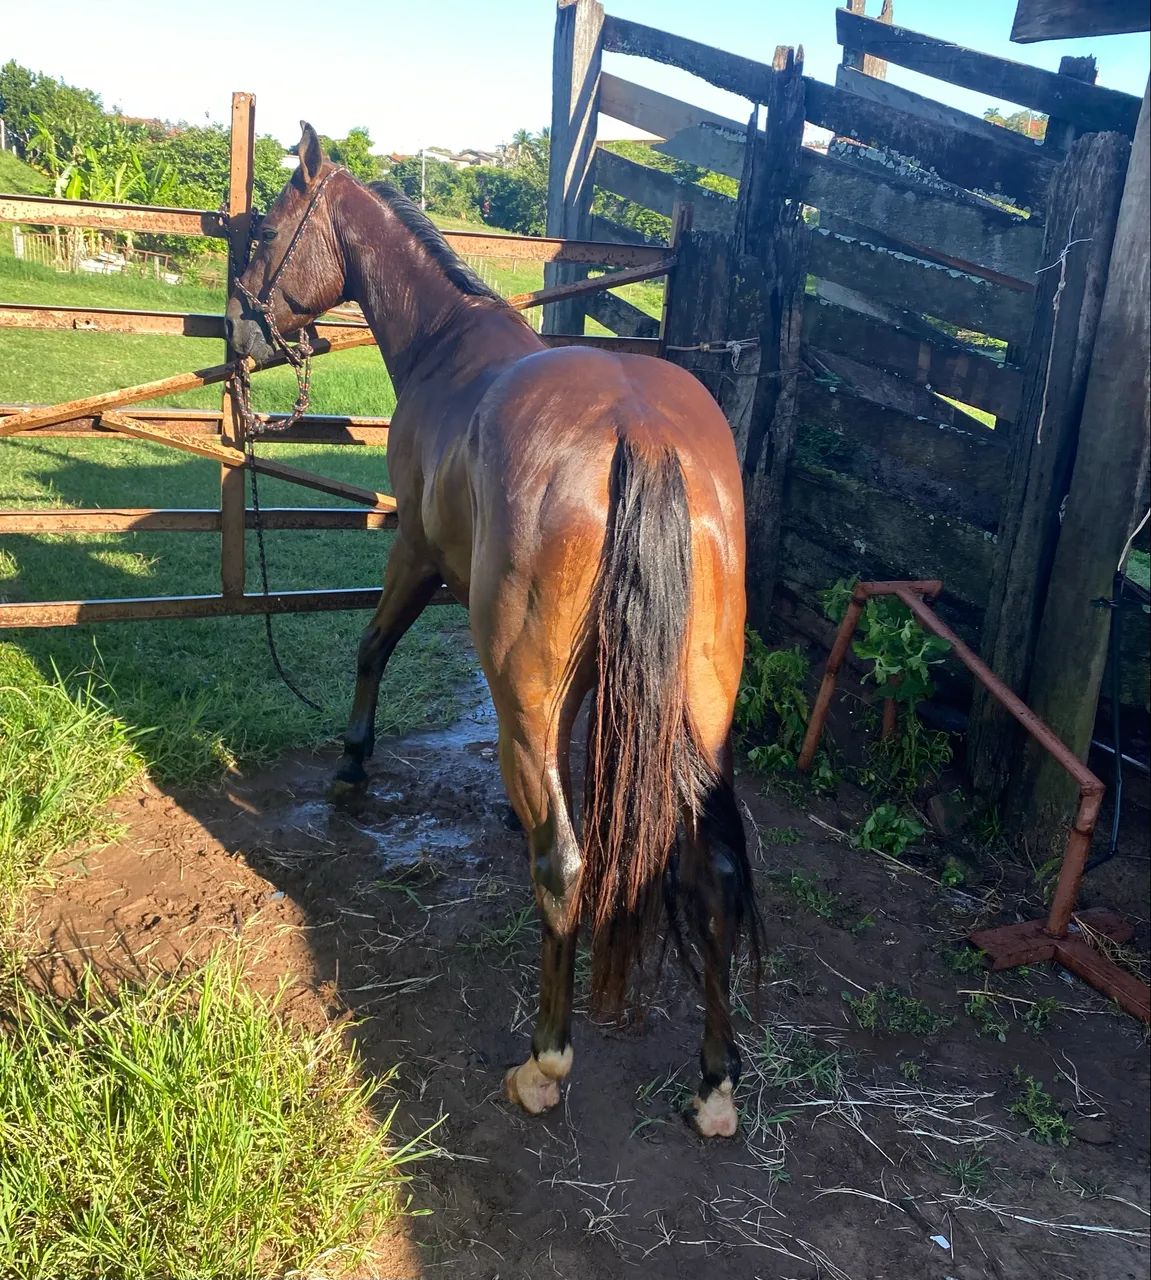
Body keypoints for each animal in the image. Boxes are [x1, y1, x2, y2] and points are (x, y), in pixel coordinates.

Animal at [227, 124, 760, 1138]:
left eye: (268, 229)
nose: (238, 334)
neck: (449, 346)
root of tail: (642, 432)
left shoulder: (416, 551)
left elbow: (371, 646)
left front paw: (352, 763)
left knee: (564, 863)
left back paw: (544, 1063)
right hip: (699, 713)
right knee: (709, 870)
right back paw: (715, 1085)